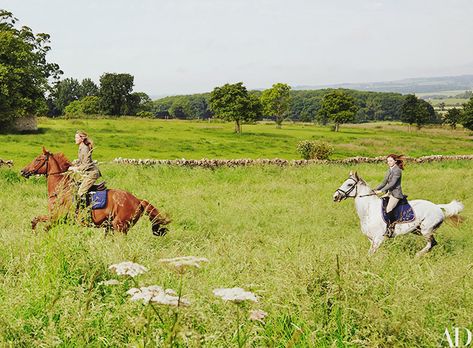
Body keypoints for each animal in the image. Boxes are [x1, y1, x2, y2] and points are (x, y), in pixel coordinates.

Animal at [21, 146, 171, 234]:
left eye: (38, 159)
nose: (23, 171)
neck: (62, 190)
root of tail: (138, 200)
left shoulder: (58, 218)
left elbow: (44, 227)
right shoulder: (53, 217)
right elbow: (34, 220)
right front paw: (34, 234)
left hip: (119, 227)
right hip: (111, 227)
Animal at [334, 171, 462, 256]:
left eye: (349, 184)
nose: (335, 196)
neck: (368, 210)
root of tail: (437, 206)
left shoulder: (378, 239)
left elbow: (370, 255)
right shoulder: (371, 239)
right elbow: (370, 253)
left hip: (426, 230)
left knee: (432, 243)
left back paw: (417, 256)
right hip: (418, 230)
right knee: (432, 243)